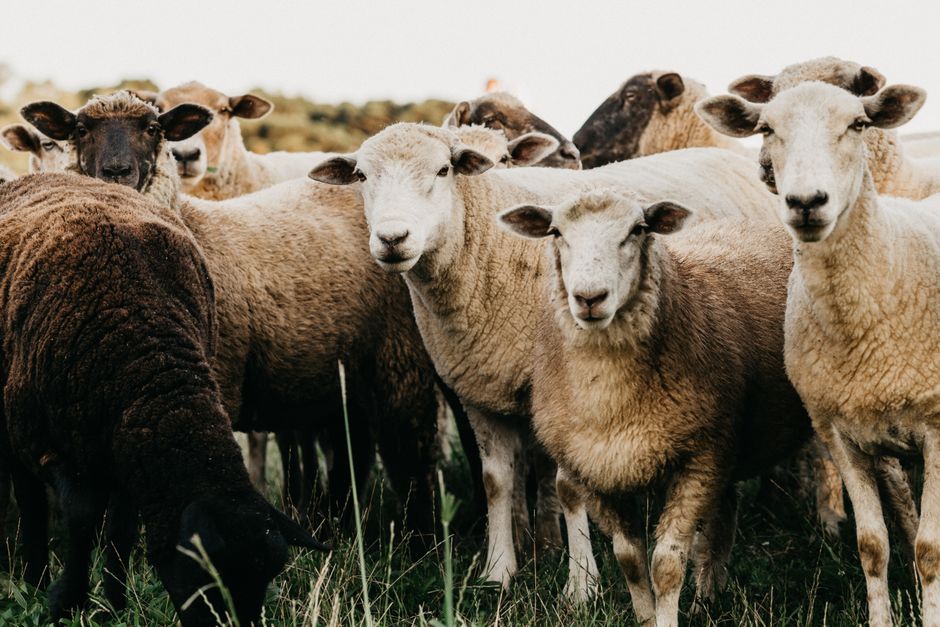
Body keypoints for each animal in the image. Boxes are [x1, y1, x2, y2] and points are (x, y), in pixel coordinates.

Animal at [0, 172, 326, 625]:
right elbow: (81, 515)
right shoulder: (42, 443)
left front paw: (114, 604)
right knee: (31, 505)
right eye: (209, 575)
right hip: (17, 427)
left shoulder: (130, 448)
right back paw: (32, 579)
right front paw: (66, 601)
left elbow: (121, 529)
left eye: (264, 580)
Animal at [22, 91, 447, 545]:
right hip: (342, 379)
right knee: (356, 452)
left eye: (153, 129)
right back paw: (341, 523)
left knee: (413, 459)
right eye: (81, 130)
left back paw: (421, 541)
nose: (116, 172)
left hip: (400, 362)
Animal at [308, 122, 780, 589]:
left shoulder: (566, 391)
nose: (392, 239)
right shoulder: (481, 388)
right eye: (362, 176)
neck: (486, 249)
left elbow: (568, 487)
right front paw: (499, 572)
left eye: (443, 170)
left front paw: (581, 584)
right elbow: (496, 481)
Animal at [498, 189, 810, 626]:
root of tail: (753, 224)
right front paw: (646, 617)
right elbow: (630, 560)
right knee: (723, 517)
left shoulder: (698, 460)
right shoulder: (599, 471)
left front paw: (667, 615)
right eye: (556, 232)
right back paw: (708, 598)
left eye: (638, 229)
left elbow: (666, 563)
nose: (589, 298)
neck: (610, 402)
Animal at [696, 80, 940, 627]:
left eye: (858, 124)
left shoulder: (938, 430)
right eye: (766, 128)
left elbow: (931, 549)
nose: (806, 201)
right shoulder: (841, 432)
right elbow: (872, 546)